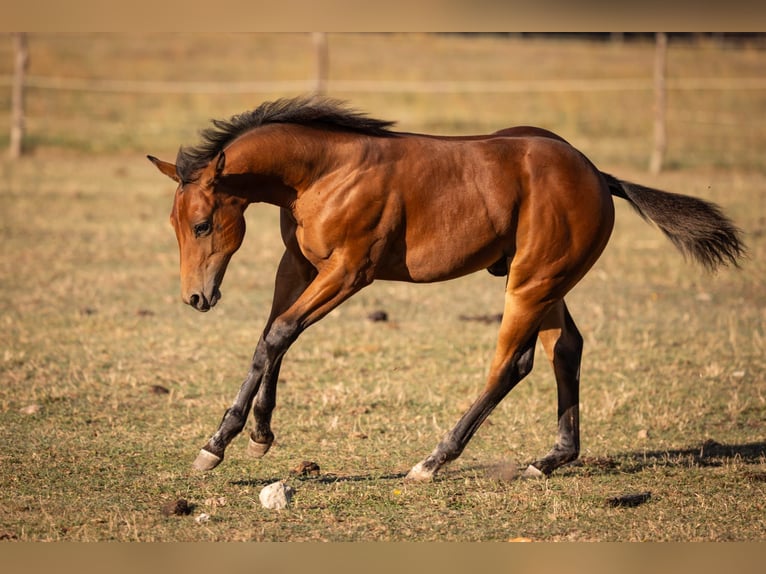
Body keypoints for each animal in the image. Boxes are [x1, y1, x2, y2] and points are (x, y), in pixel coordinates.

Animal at [148, 96, 744, 481]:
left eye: (202, 224)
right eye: (173, 225)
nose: (196, 298)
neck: (323, 173)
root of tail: (599, 174)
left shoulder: (348, 273)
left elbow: (279, 335)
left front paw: (218, 444)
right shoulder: (297, 266)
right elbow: (272, 338)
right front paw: (258, 435)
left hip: (531, 284)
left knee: (511, 364)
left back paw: (434, 460)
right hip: (546, 284)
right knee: (565, 348)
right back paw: (548, 460)